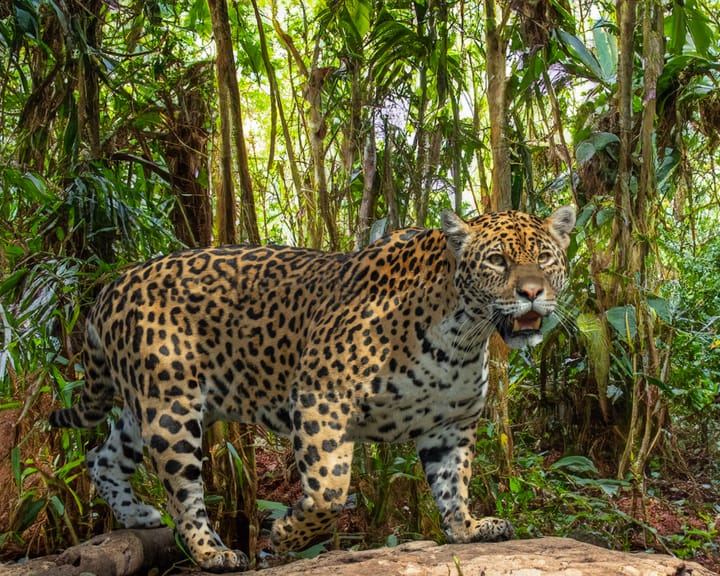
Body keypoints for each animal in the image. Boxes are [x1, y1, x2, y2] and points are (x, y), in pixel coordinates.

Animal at [49, 206, 575, 572]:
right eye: (497, 261)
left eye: (545, 258)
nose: (532, 293)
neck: (462, 335)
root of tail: (112, 285)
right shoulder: (320, 399)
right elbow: (329, 490)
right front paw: (284, 535)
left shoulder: (452, 423)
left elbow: (453, 481)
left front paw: (467, 528)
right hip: (171, 407)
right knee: (183, 493)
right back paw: (213, 552)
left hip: (145, 407)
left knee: (101, 457)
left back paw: (138, 516)